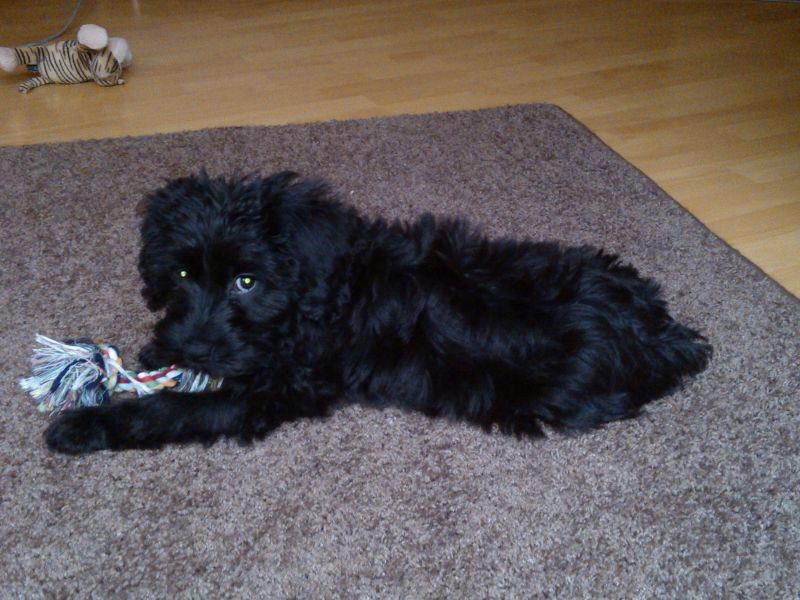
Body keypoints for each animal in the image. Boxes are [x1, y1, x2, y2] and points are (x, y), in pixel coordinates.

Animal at [45, 171, 712, 454]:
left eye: (245, 281)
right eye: (182, 275)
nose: (198, 347)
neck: (315, 292)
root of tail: (665, 333)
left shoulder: (274, 391)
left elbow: (173, 409)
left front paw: (85, 425)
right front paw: (159, 350)